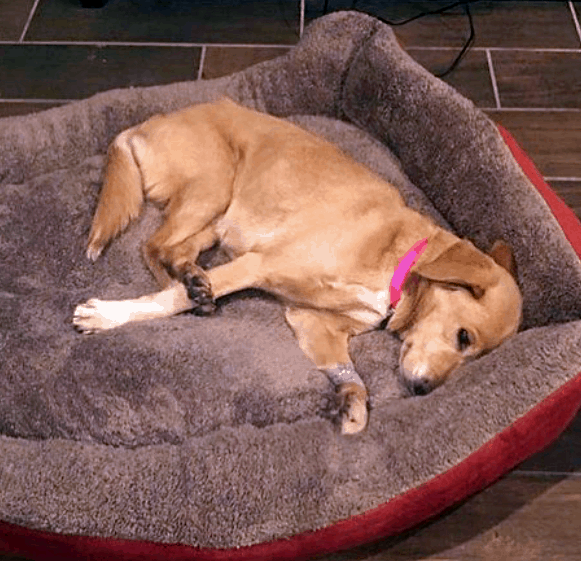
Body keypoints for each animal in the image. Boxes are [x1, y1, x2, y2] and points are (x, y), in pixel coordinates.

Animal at [73, 98, 523, 435]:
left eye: (474, 356)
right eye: (464, 337)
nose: (424, 391)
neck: (398, 261)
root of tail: (146, 124)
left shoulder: (313, 322)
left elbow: (348, 376)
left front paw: (353, 406)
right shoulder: (258, 264)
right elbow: (167, 302)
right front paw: (107, 316)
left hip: (216, 220)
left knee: (170, 253)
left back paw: (193, 281)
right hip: (213, 188)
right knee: (153, 247)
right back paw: (189, 287)